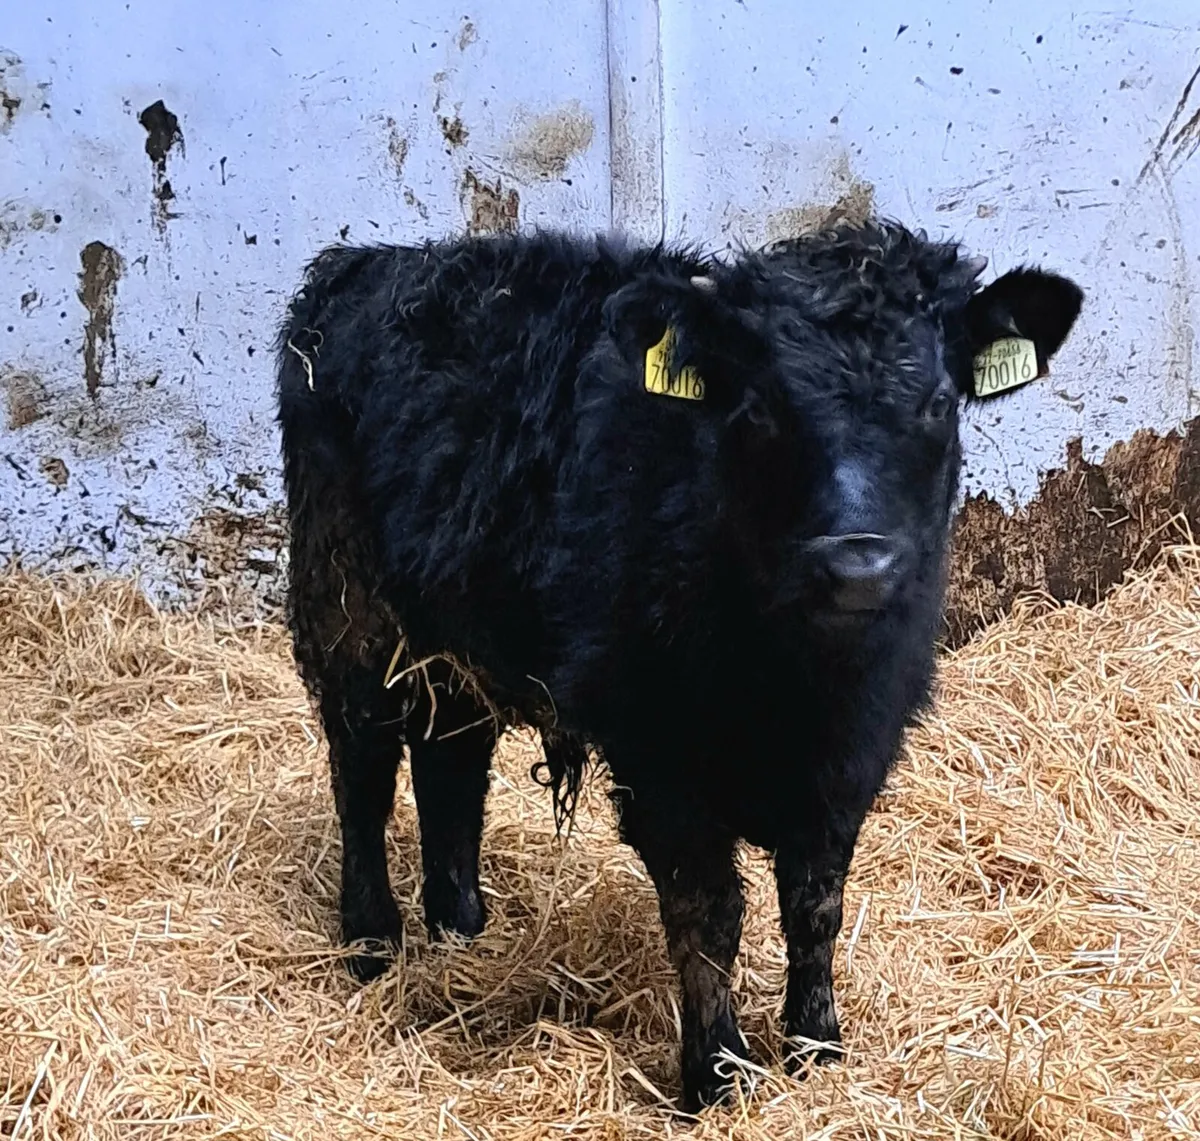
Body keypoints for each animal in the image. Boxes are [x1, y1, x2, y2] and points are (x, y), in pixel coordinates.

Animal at [274, 223, 1083, 1112]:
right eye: (761, 408)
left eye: (938, 402)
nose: (858, 565)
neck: (798, 684)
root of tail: (369, 261)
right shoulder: (659, 756)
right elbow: (708, 914)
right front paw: (718, 1071)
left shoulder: (855, 752)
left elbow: (816, 902)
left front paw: (816, 1046)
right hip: (347, 608)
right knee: (364, 768)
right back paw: (372, 938)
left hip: (451, 644)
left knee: (449, 764)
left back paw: (461, 929)